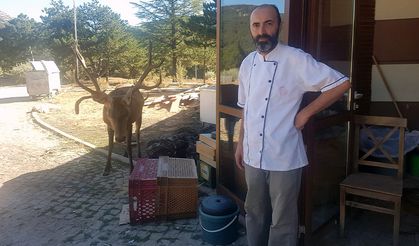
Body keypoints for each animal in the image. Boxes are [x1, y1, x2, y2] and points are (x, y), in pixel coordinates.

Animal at [70, 43, 162, 175]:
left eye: (126, 114)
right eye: (109, 115)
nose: (119, 138)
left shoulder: (129, 123)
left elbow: (129, 144)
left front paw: (131, 168)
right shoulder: (108, 125)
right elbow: (110, 146)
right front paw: (106, 168)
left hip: (139, 116)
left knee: (137, 133)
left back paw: (138, 153)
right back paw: (124, 152)